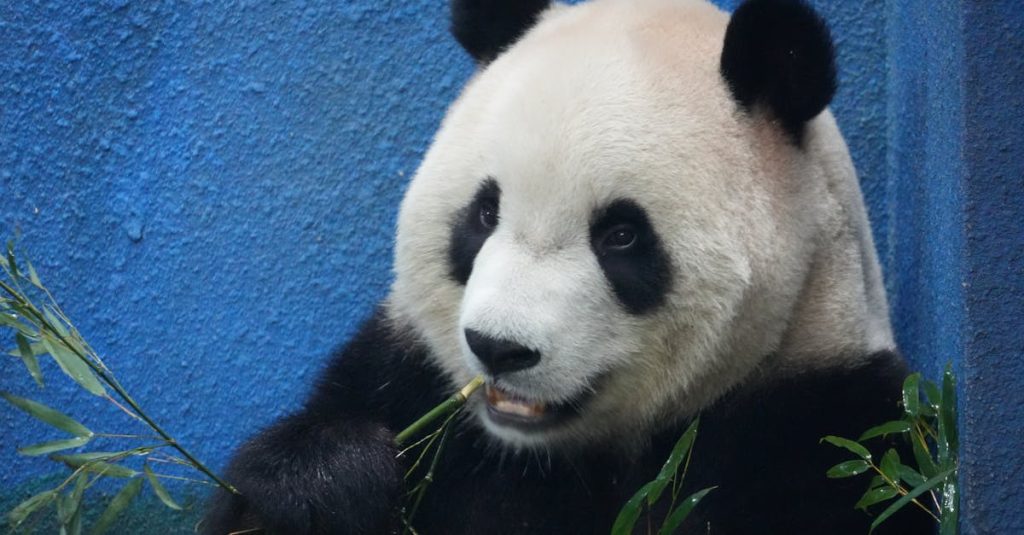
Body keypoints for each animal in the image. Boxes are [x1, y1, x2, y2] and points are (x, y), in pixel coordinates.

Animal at [204, 0, 933, 533]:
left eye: (621, 235)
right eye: (484, 213)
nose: (499, 348)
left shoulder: (822, 429)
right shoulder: (407, 378)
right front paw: (329, 483)